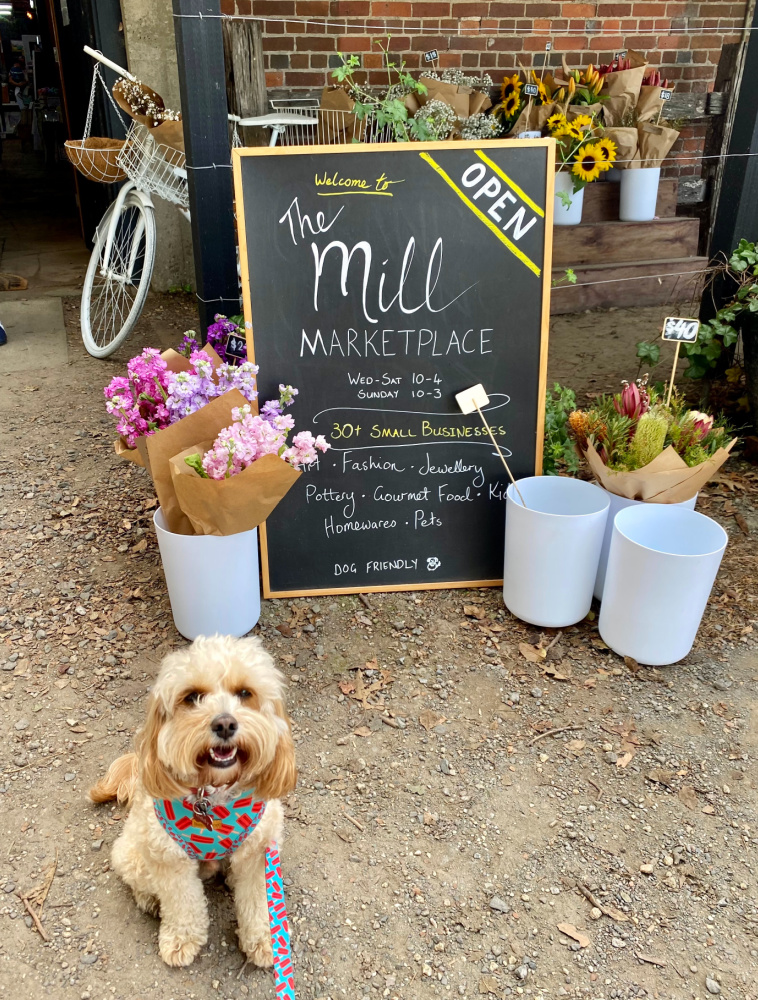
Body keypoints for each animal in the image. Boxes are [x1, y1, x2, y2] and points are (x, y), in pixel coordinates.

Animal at [90, 632, 298, 968]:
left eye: (245, 693)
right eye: (191, 697)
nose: (225, 724)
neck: (213, 794)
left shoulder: (260, 853)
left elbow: (258, 900)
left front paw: (267, 939)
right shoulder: (168, 857)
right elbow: (182, 902)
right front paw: (181, 939)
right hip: (132, 853)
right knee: (141, 882)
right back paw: (149, 899)